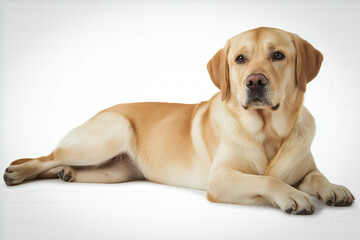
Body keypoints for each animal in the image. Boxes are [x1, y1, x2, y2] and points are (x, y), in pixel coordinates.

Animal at [4, 27, 356, 215]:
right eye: (239, 59)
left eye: (278, 55)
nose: (255, 81)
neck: (268, 131)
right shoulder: (221, 179)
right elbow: (266, 181)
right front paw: (291, 195)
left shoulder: (305, 168)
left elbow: (316, 175)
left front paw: (334, 188)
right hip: (108, 134)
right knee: (44, 158)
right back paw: (18, 172)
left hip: (115, 172)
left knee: (62, 166)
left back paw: (66, 173)